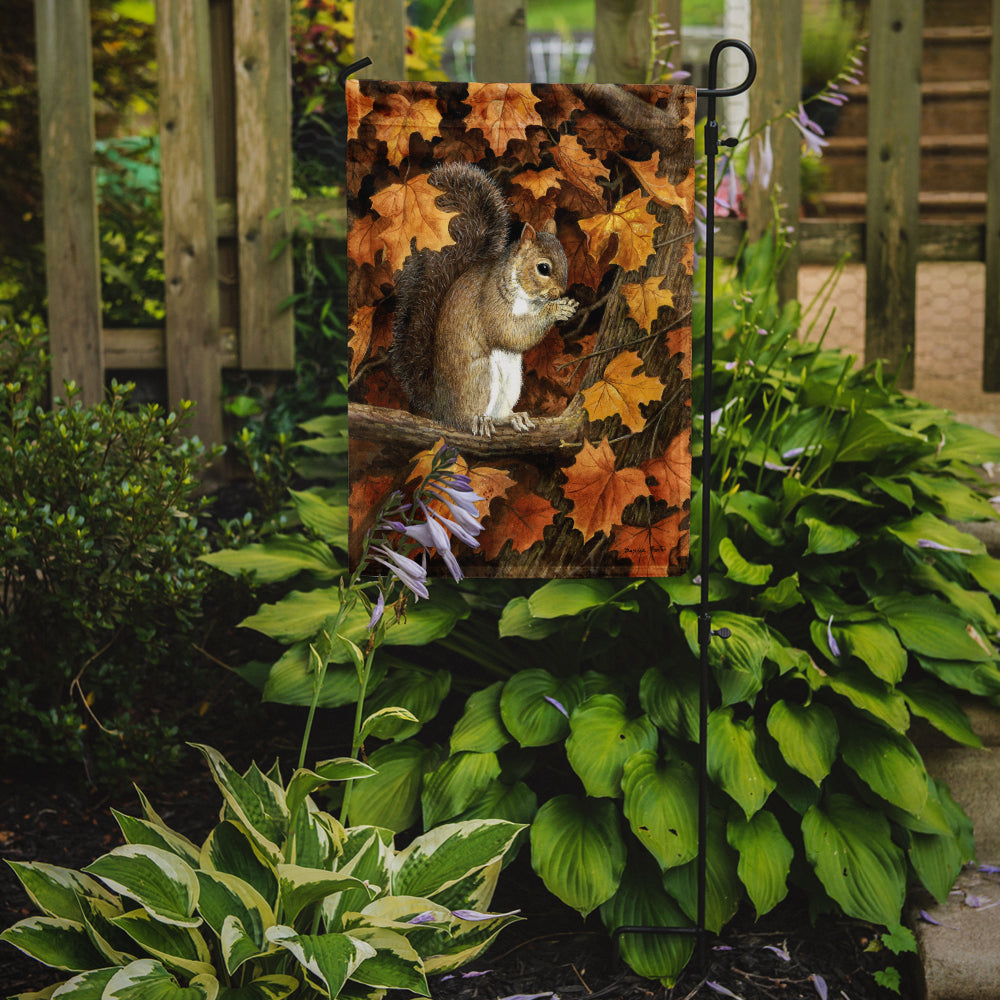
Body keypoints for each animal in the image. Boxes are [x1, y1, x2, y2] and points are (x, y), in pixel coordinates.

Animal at [390, 161, 578, 437]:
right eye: (543, 268)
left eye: (566, 260)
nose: (560, 293)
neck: (527, 298)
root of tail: (440, 407)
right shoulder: (490, 302)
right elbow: (509, 331)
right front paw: (555, 310)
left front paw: (566, 306)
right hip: (478, 377)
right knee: (464, 417)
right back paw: (476, 421)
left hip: (511, 381)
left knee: (498, 413)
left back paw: (512, 417)